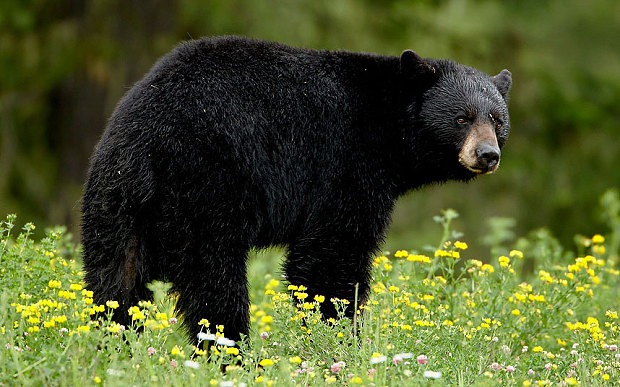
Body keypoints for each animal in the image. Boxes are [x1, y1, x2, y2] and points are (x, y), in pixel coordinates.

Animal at [81, 36, 508, 344]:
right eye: (462, 117)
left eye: (497, 119)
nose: (488, 154)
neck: (387, 128)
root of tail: (146, 139)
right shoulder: (345, 163)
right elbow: (331, 256)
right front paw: (340, 339)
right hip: (207, 186)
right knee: (214, 279)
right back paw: (233, 353)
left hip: (114, 199)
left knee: (114, 278)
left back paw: (113, 345)